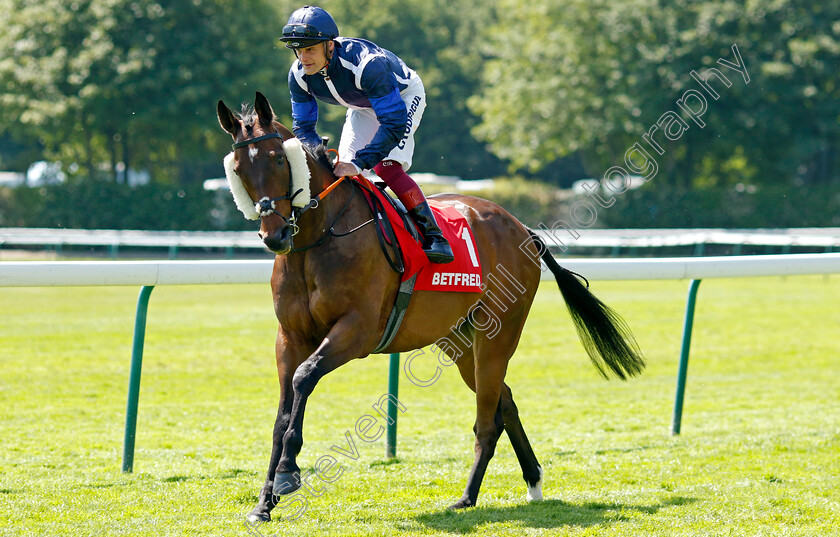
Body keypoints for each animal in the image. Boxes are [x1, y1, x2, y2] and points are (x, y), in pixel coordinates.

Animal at [217, 91, 644, 520]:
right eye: (238, 167)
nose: (274, 235)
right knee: (504, 400)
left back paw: (468, 497)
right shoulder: (290, 336)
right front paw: (264, 502)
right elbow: (282, 412)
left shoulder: (356, 331)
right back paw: (533, 481)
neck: (319, 238)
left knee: (487, 421)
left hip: (498, 334)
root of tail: (522, 229)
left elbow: (304, 377)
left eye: (277, 159)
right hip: (461, 341)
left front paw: (288, 474)